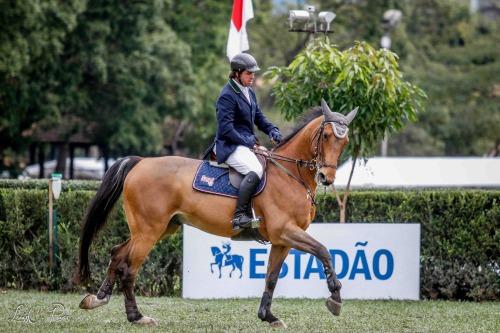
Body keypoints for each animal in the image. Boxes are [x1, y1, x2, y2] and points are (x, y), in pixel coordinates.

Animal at [76, 98, 358, 326]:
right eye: (326, 136)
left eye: (344, 141)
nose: (326, 177)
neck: (291, 175)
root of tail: (141, 162)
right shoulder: (286, 231)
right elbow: (323, 250)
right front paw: (335, 296)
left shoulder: (282, 240)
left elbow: (271, 277)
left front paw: (268, 316)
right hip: (148, 231)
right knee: (129, 269)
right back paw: (137, 317)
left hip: (161, 228)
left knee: (117, 253)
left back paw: (98, 298)